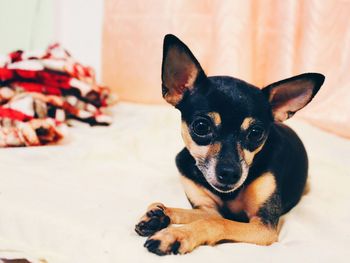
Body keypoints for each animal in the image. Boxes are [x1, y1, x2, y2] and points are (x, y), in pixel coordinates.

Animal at [135, 34, 326, 256]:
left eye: (256, 133)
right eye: (201, 127)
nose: (229, 173)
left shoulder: (263, 226)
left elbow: (215, 223)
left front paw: (175, 234)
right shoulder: (208, 209)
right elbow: (195, 214)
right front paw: (160, 215)